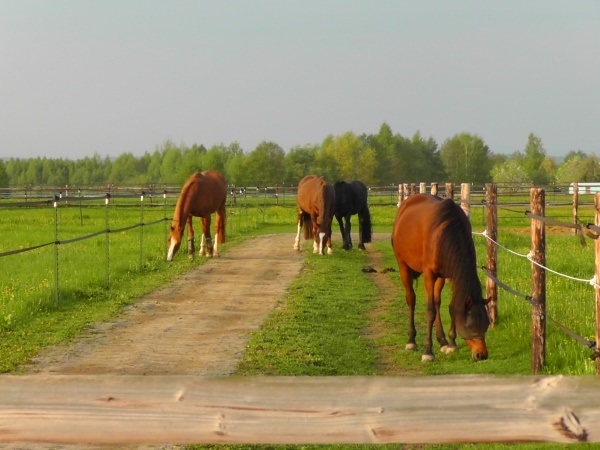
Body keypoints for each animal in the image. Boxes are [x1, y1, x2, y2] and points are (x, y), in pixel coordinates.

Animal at [392, 193, 490, 362]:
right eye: (470, 326)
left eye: (486, 324)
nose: (482, 355)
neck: (445, 231)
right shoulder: (429, 274)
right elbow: (430, 311)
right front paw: (427, 351)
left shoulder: (449, 274)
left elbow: (452, 307)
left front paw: (451, 344)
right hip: (403, 266)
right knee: (411, 298)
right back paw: (411, 341)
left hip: (438, 277)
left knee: (436, 301)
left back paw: (442, 340)